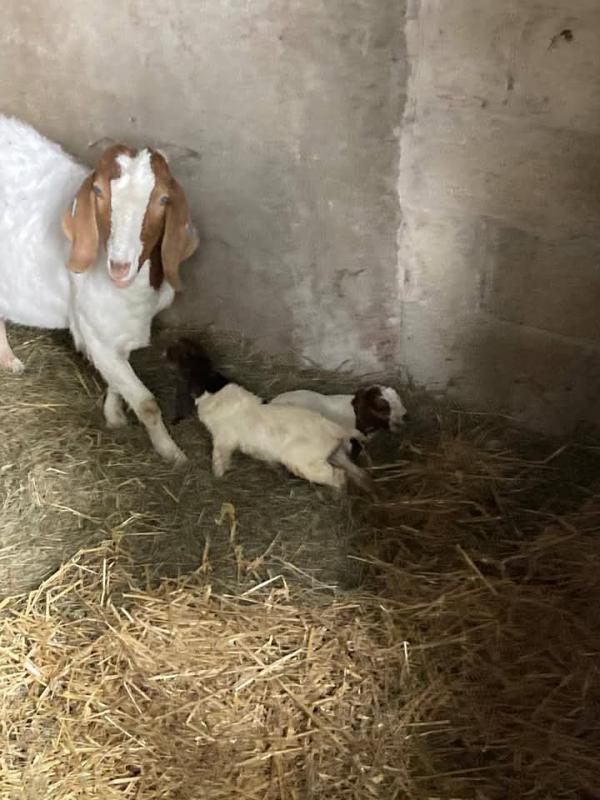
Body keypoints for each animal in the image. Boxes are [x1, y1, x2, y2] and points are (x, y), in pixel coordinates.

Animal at [0, 116, 199, 464]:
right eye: (97, 191)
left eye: (163, 199)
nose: (119, 266)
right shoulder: (93, 331)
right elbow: (146, 403)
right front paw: (172, 452)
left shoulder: (117, 332)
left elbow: (118, 378)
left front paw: (114, 415)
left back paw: (8, 359)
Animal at [165, 338, 376, 496]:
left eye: (179, 352)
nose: (164, 351)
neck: (212, 387)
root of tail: (334, 428)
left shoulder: (223, 439)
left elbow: (219, 460)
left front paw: (217, 478)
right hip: (333, 456)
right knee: (355, 474)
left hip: (306, 464)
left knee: (339, 478)